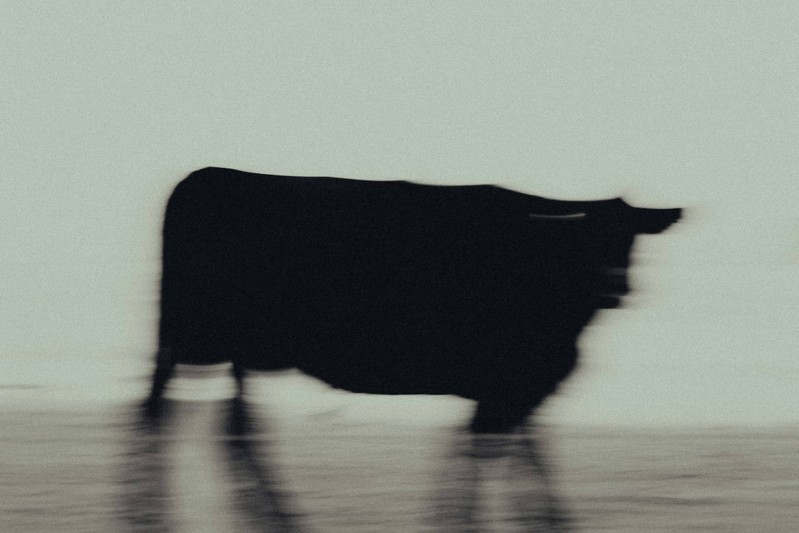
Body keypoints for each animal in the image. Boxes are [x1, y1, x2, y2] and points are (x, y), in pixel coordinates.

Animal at [144, 167, 681, 434]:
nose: (616, 290)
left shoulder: (517, 386)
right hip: (199, 336)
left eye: (632, 239)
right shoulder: (509, 381)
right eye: (590, 240)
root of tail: (198, 177)